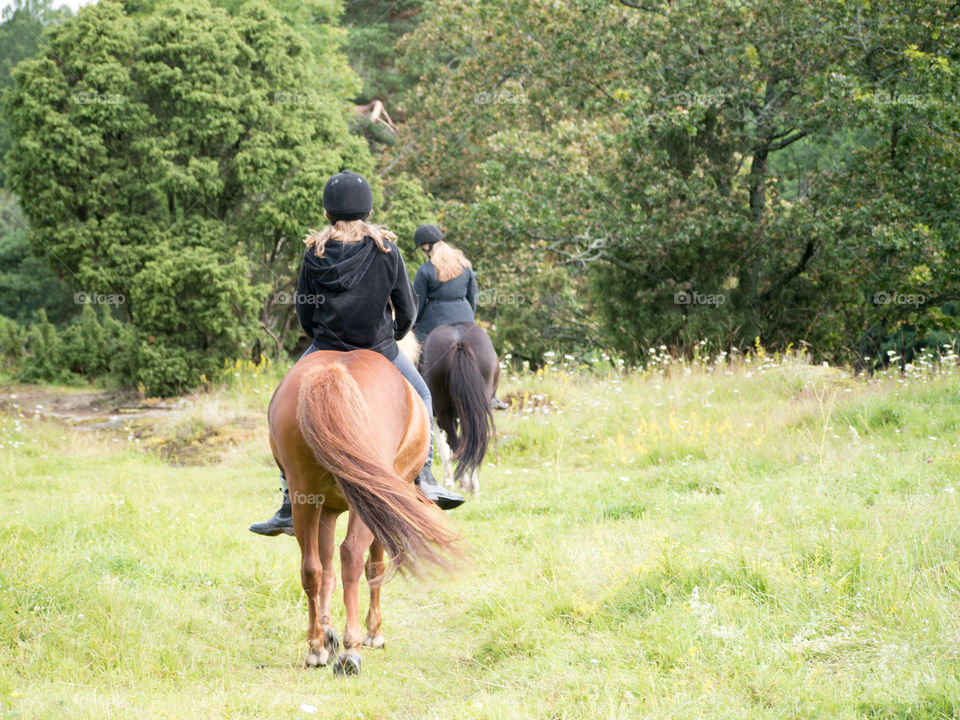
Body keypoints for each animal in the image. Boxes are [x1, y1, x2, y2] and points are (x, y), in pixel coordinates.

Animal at [268, 348, 464, 676]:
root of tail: (333, 374)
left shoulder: (327, 509)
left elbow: (326, 570)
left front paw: (328, 633)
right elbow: (374, 567)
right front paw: (373, 632)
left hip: (303, 496)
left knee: (311, 567)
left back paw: (317, 648)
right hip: (366, 498)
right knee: (351, 556)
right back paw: (352, 650)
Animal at [418, 322, 496, 496]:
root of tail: (459, 341)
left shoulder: (436, 416)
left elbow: (443, 447)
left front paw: (449, 480)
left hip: (443, 412)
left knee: (456, 443)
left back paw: (465, 483)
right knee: (473, 441)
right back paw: (472, 484)